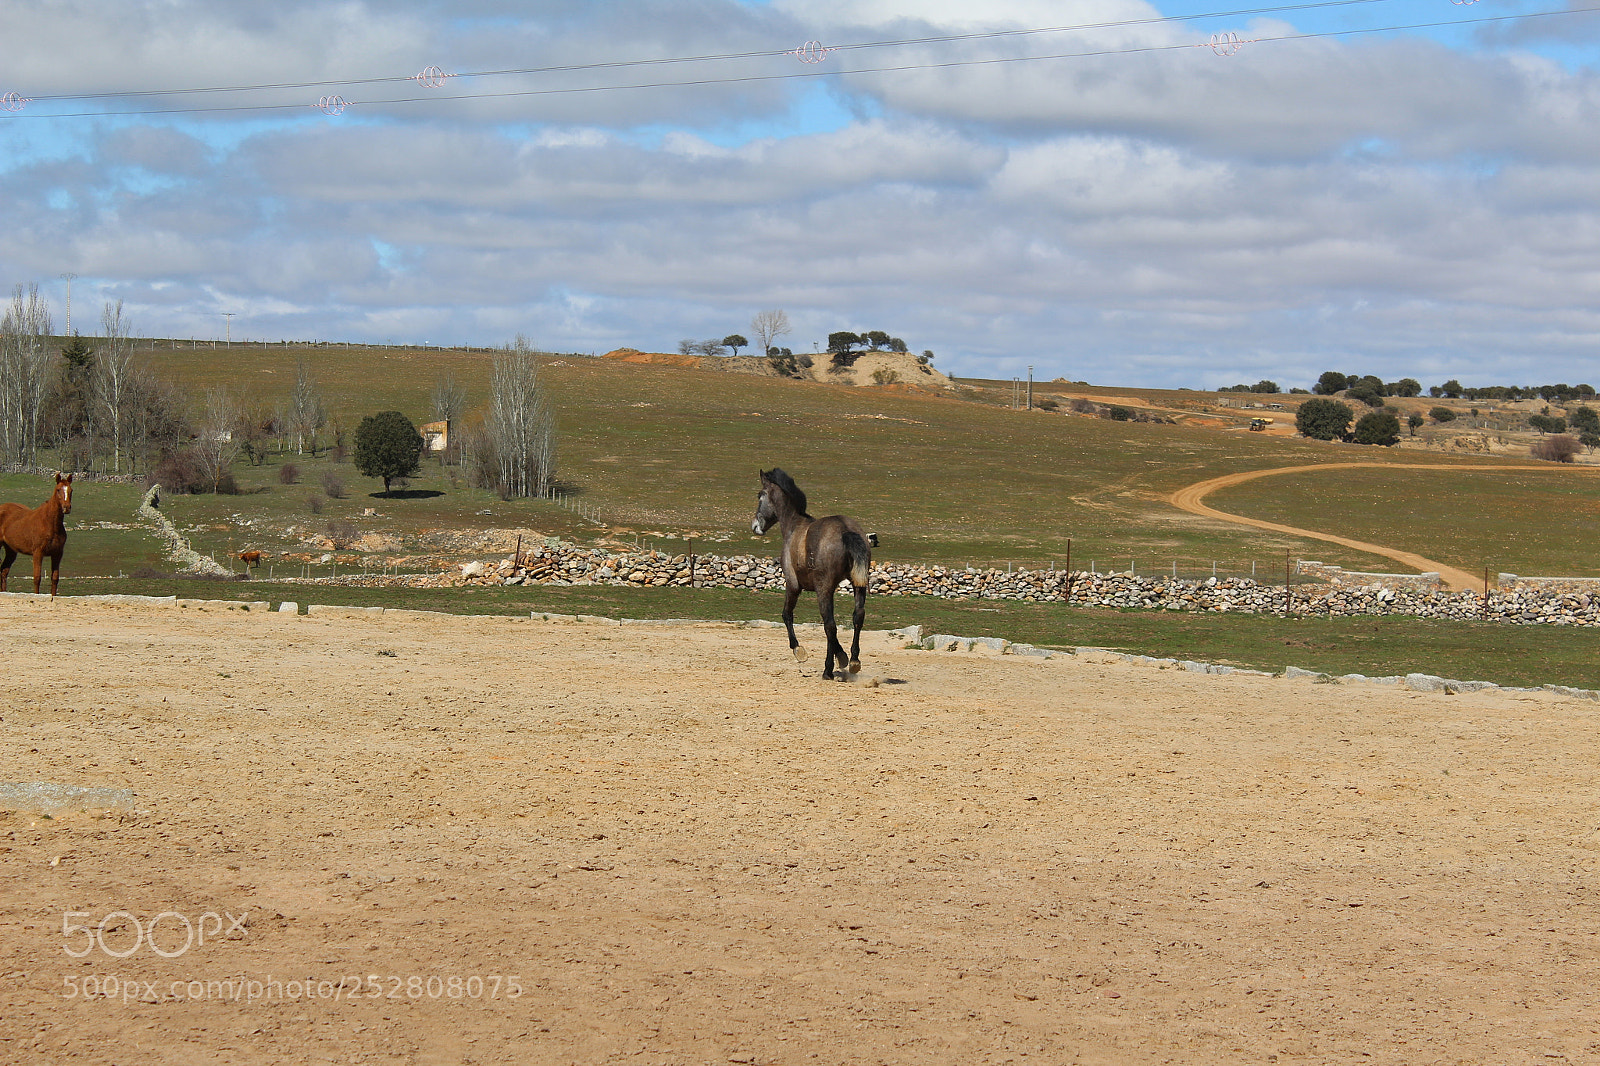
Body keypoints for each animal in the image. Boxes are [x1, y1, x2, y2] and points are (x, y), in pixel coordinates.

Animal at [752, 468, 874, 681]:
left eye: (761, 495)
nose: (755, 526)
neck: (794, 526)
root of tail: (846, 530)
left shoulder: (793, 585)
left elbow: (787, 615)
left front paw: (799, 651)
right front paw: (843, 657)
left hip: (823, 590)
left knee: (829, 625)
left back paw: (827, 670)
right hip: (858, 585)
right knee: (857, 617)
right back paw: (854, 661)